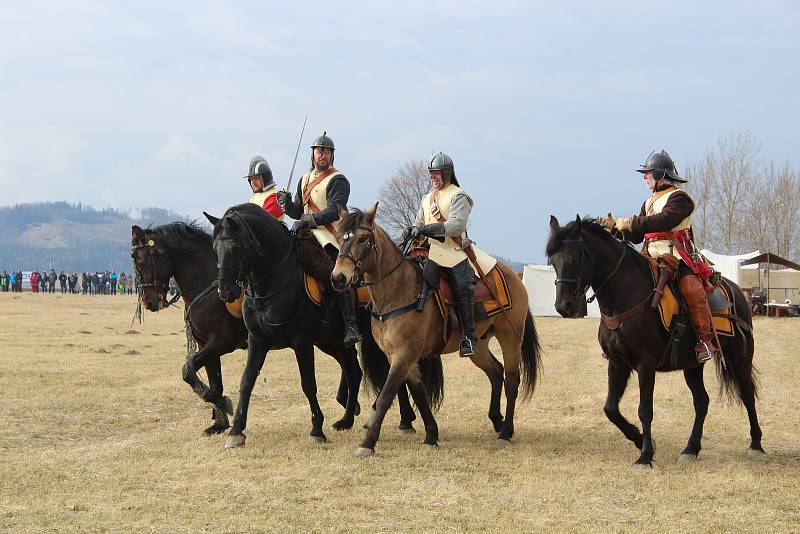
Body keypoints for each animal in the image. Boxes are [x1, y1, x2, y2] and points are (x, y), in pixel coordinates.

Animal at [131, 220, 424, 442]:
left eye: (144, 258)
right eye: (134, 258)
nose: (149, 301)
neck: (208, 283)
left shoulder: (221, 343)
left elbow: (189, 371)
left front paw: (224, 407)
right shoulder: (208, 345)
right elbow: (211, 379)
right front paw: (219, 421)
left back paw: (404, 420)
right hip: (332, 342)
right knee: (353, 372)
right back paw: (349, 418)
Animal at [206, 203, 444, 450]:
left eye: (235, 246)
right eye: (215, 247)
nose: (225, 291)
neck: (276, 280)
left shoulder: (301, 342)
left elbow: (308, 384)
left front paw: (316, 429)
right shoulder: (257, 341)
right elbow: (246, 381)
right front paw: (236, 430)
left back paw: (404, 420)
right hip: (338, 343)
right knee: (355, 374)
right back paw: (349, 419)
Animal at [330, 203, 544, 458]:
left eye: (362, 239)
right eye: (339, 238)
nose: (338, 278)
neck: (397, 291)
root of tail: (512, 275)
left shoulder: (403, 355)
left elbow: (386, 396)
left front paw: (367, 442)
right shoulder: (401, 357)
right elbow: (420, 395)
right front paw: (431, 435)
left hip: (510, 337)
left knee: (511, 380)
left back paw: (505, 432)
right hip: (479, 345)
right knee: (495, 372)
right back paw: (497, 421)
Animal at [544, 216, 764, 466]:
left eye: (575, 258)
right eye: (553, 261)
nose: (564, 306)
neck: (625, 297)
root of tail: (738, 292)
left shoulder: (645, 365)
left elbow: (645, 410)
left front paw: (645, 455)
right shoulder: (617, 363)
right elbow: (610, 408)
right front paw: (638, 439)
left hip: (739, 358)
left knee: (747, 394)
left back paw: (756, 444)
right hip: (693, 365)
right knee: (702, 402)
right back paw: (691, 448)